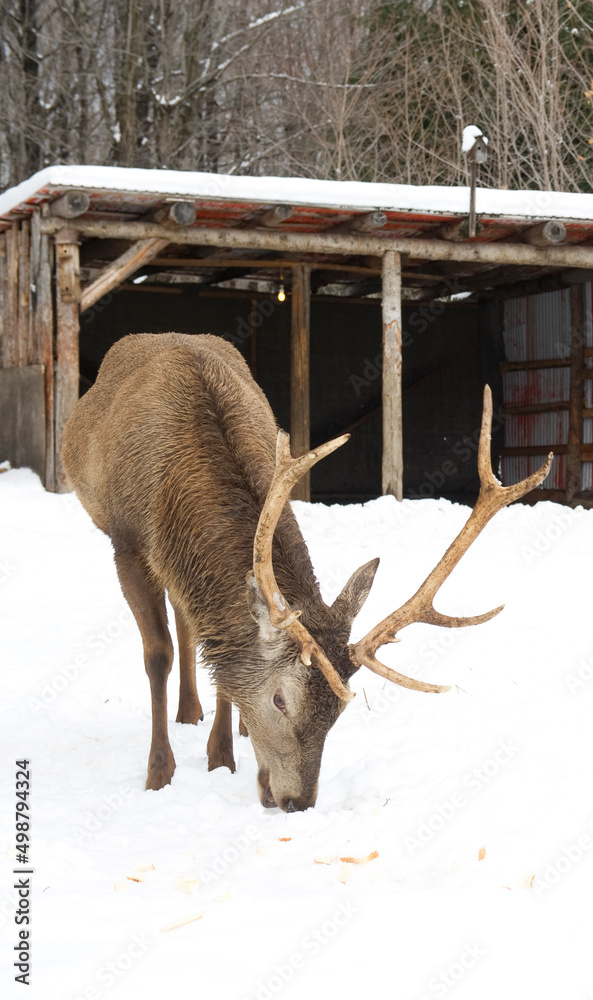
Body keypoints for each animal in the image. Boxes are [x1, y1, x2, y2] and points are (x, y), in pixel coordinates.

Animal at [62, 334, 552, 812]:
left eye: (339, 710)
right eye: (280, 700)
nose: (298, 802)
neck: (169, 501)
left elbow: (222, 658)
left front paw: (221, 759)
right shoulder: (125, 543)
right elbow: (157, 655)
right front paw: (159, 774)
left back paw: (204, 716)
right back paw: (185, 714)